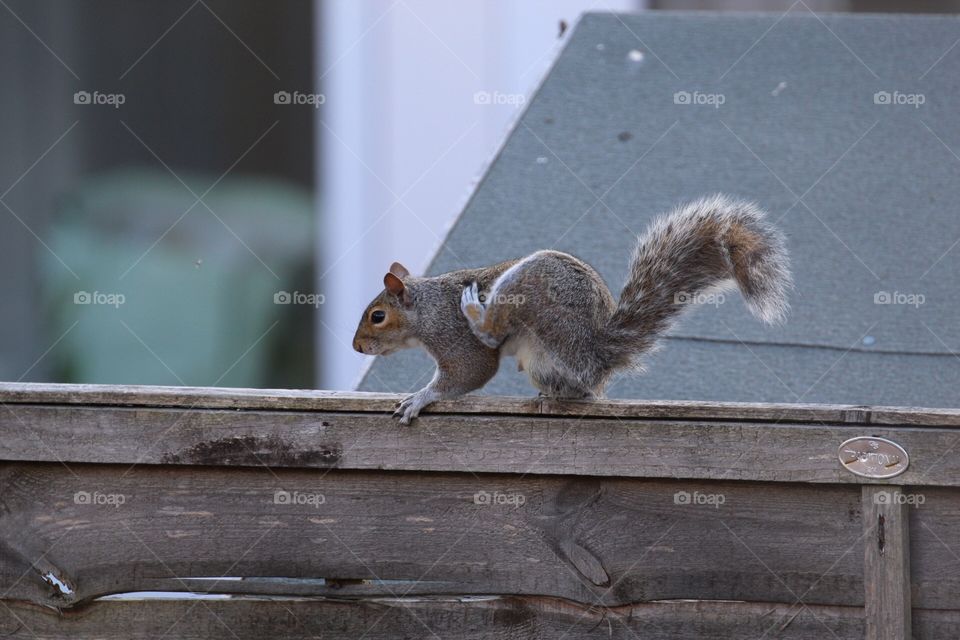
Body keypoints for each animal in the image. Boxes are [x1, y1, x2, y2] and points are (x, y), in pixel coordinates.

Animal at [353, 195, 792, 424]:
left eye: (378, 316)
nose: (357, 347)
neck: (426, 310)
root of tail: (597, 354)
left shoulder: (452, 336)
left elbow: (470, 371)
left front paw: (420, 398)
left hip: (534, 289)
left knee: (495, 334)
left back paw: (477, 311)